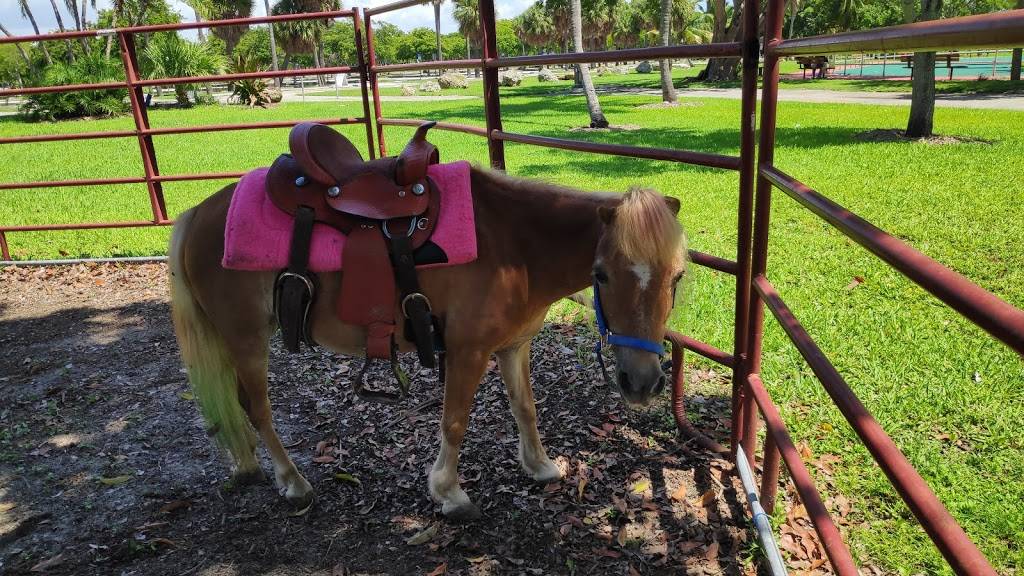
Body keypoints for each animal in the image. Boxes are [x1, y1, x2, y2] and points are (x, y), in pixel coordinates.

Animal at [172, 163, 688, 518]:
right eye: (601, 274)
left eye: (678, 277)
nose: (641, 382)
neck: (516, 245)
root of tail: (198, 214)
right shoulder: (468, 352)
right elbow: (455, 422)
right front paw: (449, 493)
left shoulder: (514, 346)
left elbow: (525, 408)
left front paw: (540, 466)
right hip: (246, 339)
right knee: (257, 409)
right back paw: (293, 482)